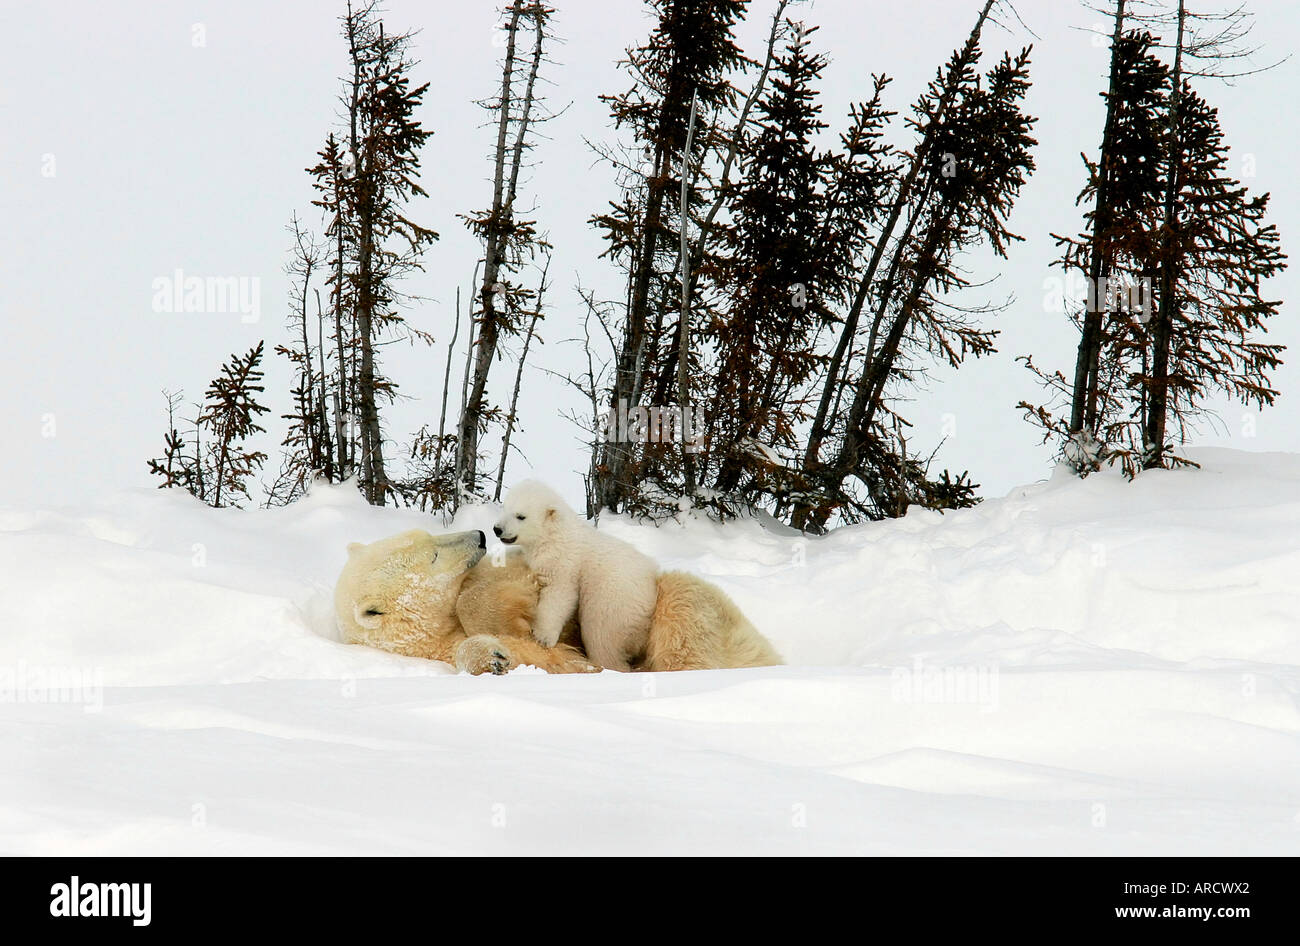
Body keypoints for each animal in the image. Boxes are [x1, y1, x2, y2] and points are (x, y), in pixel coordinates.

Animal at [496, 480, 660, 670]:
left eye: (520, 516)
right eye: (505, 508)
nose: (497, 529)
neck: (554, 534)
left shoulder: (564, 562)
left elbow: (559, 595)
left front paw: (542, 637)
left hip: (614, 602)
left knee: (601, 635)